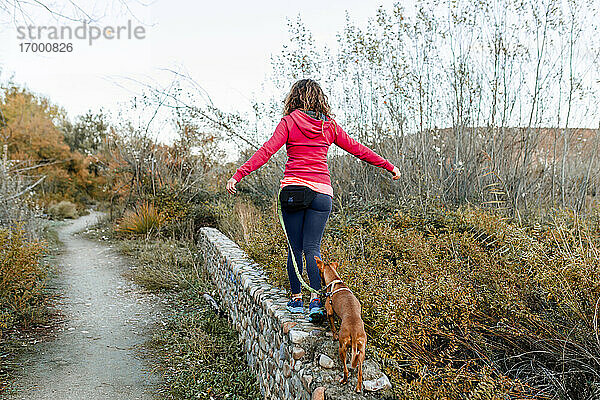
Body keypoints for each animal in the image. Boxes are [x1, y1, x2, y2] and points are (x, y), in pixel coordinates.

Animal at [314, 256, 366, 390]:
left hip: (342, 348)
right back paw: (358, 387)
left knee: (346, 369)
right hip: (361, 350)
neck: (335, 280)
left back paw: (344, 380)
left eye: (319, 272)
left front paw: (334, 336)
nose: (321, 282)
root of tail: (354, 331)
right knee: (360, 371)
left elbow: (333, 327)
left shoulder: (330, 312)